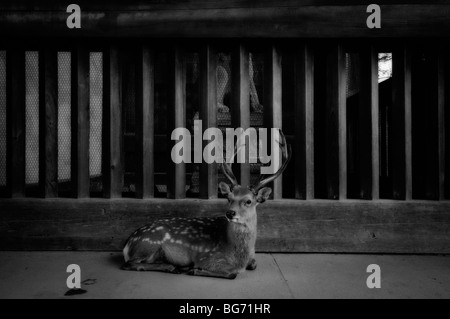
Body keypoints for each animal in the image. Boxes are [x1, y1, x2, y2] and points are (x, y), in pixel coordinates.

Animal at [121, 132, 292, 280]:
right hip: (149, 244)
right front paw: (194, 269)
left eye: (249, 201)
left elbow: (254, 264)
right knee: (129, 264)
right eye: (229, 198)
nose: (230, 213)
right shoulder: (207, 256)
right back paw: (173, 267)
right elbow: (232, 273)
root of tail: (127, 245)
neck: (238, 254)